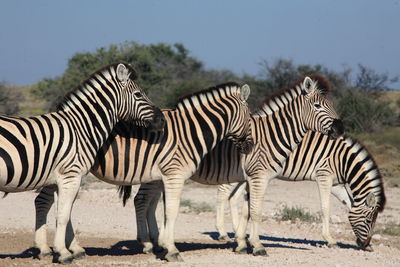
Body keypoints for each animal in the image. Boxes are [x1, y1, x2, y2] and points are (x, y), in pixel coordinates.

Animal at [0, 62, 164, 264]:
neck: (81, 128)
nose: (162, 120)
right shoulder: (70, 176)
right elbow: (63, 215)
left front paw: (70, 249)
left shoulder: (63, 178)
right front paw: (63, 253)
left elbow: (64, 212)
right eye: (138, 94)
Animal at [33, 82, 253, 262]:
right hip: (61, 170)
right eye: (249, 118)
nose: (250, 147)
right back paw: (48, 249)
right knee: (44, 201)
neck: (190, 131)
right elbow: (171, 211)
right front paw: (171, 250)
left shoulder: (163, 176)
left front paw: (160, 244)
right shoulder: (174, 175)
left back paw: (71, 249)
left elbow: (158, 208)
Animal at [131, 74, 344, 258]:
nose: (340, 129)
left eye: (332, 105)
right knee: (141, 201)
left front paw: (242, 244)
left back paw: (156, 243)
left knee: (150, 204)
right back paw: (148, 244)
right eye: (317, 106)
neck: (271, 136)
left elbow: (247, 210)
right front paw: (258, 246)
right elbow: (256, 211)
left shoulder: (250, 178)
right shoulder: (259, 177)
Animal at [214, 131, 386, 252]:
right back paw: (222, 232)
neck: (343, 160)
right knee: (223, 193)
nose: (366, 245)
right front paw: (329, 240)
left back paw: (237, 233)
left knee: (233, 197)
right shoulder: (324, 175)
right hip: (235, 170)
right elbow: (326, 208)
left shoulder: (337, 184)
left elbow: (349, 204)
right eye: (368, 221)